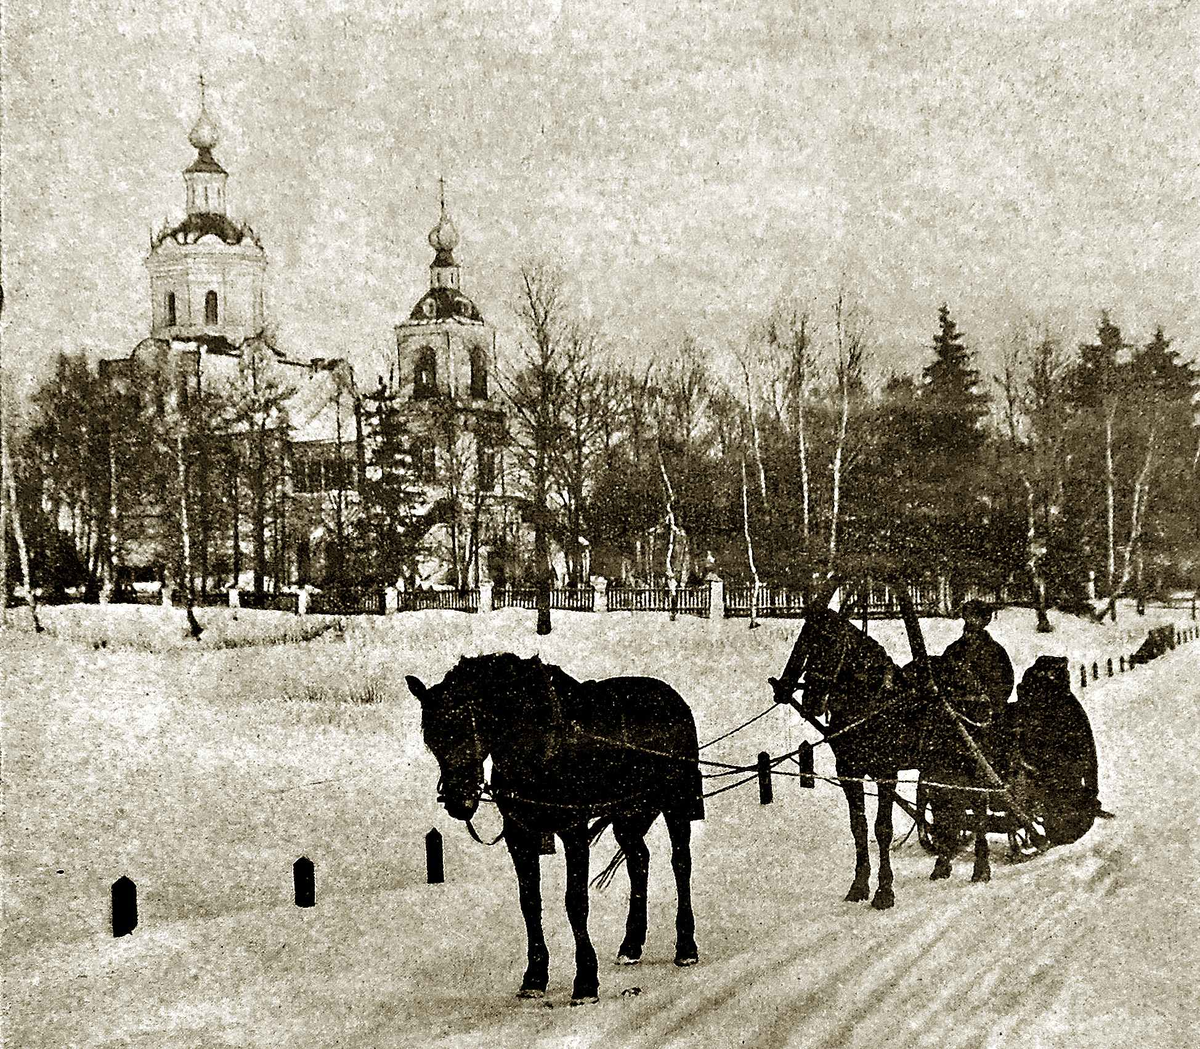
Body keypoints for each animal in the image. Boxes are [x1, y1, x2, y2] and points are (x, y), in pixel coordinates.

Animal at [408, 648, 700, 1003]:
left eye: (464, 730)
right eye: (432, 741)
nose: (457, 802)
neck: (536, 747)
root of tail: (672, 697)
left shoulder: (573, 830)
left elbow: (575, 902)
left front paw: (585, 980)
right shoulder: (520, 836)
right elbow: (530, 903)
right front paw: (535, 976)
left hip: (676, 803)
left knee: (680, 863)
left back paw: (686, 946)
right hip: (628, 813)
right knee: (639, 861)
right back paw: (631, 945)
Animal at [772, 604, 998, 907]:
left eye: (833, 643)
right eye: (806, 642)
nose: (811, 701)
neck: (871, 704)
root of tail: (969, 676)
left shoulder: (886, 772)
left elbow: (882, 828)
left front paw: (884, 891)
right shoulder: (848, 771)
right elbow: (859, 827)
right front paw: (858, 886)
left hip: (970, 757)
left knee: (980, 802)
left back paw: (981, 868)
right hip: (940, 764)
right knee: (949, 808)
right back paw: (942, 864)